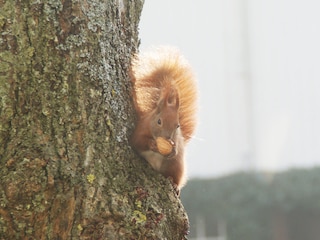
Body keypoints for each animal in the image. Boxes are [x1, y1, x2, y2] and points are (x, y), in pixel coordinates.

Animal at [130, 46, 198, 190]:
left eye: (177, 125)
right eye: (159, 121)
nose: (167, 138)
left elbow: (175, 147)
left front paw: (173, 150)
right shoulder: (140, 129)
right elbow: (137, 141)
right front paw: (151, 144)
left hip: (175, 166)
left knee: (175, 177)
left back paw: (174, 184)